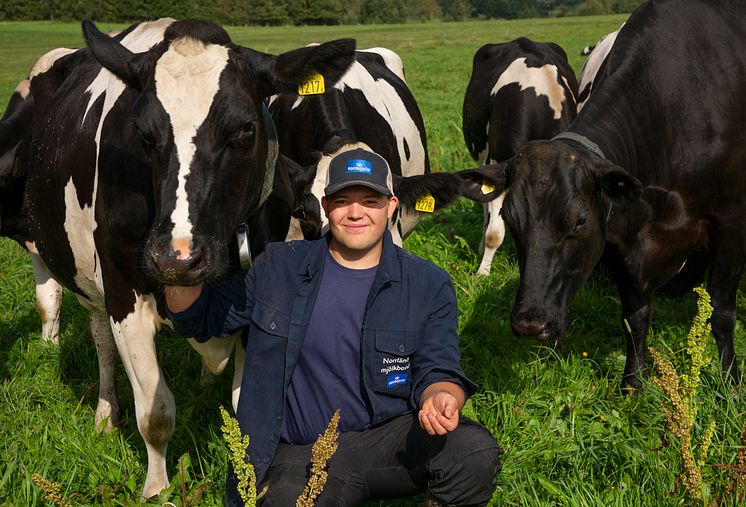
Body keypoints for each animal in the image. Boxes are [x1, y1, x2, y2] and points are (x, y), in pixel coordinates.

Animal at [4, 17, 354, 498]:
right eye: (142, 134)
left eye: (245, 129)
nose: (178, 258)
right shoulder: (124, 293)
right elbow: (155, 414)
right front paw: (157, 491)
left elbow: (247, 411)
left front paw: (250, 486)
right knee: (96, 337)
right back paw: (105, 413)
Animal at [476, 0, 744, 392]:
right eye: (511, 219)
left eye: (580, 221)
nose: (530, 323)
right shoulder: (619, 234)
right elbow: (635, 316)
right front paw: (633, 384)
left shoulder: (731, 221)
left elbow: (722, 313)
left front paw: (730, 384)